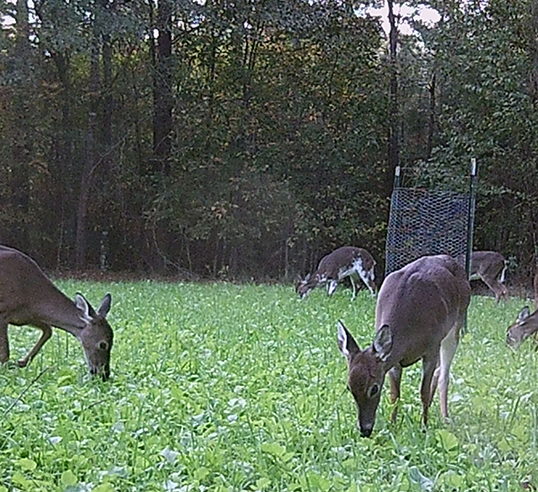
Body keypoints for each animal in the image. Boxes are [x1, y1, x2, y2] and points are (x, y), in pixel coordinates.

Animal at [0, 246, 113, 380]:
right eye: (103, 345)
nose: (104, 374)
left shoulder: (25, 317)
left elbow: (48, 331)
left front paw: (20, 362)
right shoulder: (3, 311)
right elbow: (5, 353)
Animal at [336, 256, 468, 436]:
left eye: (374, 388)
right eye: (349, 388)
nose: (365, 430)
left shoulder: (431, 347)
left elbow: (423, 392)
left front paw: (424, 427)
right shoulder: (393, 361)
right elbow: (395, 395)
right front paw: (392, 426)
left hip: (456, 324)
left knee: (444, 374)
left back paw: (445, 417)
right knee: (439, 371)